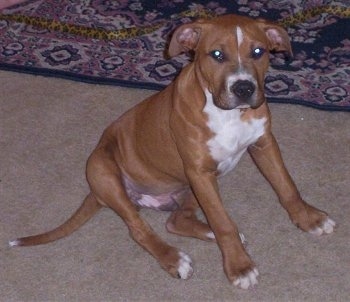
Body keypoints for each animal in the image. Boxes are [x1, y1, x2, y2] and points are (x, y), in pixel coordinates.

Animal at [9, 14, 334, 290]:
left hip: (187, 187)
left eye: (258, 52)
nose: (243, 88)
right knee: (139, 228)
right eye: (216, 55)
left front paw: (309, 219)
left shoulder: (263, 144)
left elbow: (286, 186)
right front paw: (239, 266)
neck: (229, 114)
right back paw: (174, 258)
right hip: (103, 169)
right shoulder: (200, 171)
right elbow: (223, 222)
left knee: (176, 221)